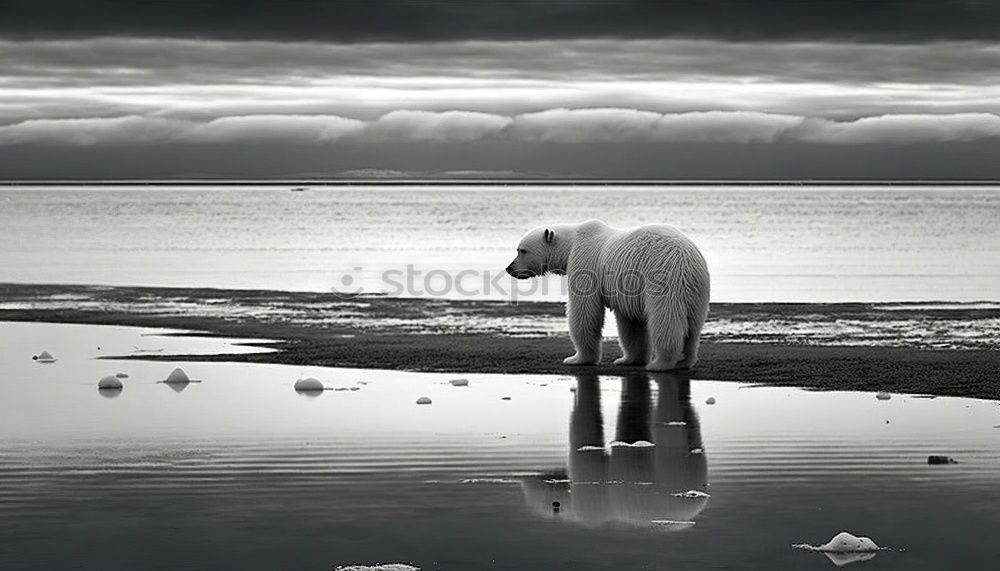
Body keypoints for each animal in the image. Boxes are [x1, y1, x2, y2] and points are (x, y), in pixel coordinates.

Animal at [508, 219, 712, 370]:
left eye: (522, 250)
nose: (509, 268)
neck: (572, 243)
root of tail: (687, 261)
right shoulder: (628, 289)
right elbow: (631, 323)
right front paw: (627, 360)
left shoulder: (585, 266)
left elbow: (585, 312)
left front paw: (576, 358)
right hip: (698, 290)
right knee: (693, 326)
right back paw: (684, 361)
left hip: (663, 279)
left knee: (666, 320)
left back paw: (661, 363)